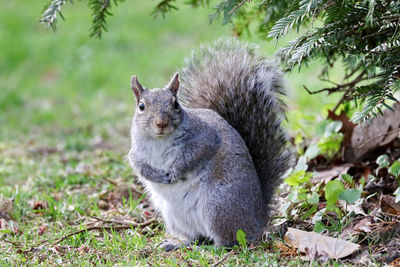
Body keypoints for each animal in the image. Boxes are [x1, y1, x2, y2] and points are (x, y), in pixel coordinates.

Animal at [128, 37, 290, 251]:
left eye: (175, 104)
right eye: (141, 107)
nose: (161, 123)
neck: (159, 140)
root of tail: (257, 219)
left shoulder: (206, 138)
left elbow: (195, 155)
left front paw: (176, 172)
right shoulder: (135, 151)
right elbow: (138, 166)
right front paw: (157, 176)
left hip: (218, 206)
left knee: (229, 241)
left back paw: (209, 247)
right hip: (176, 217)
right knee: (196, 236)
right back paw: (179, 244)